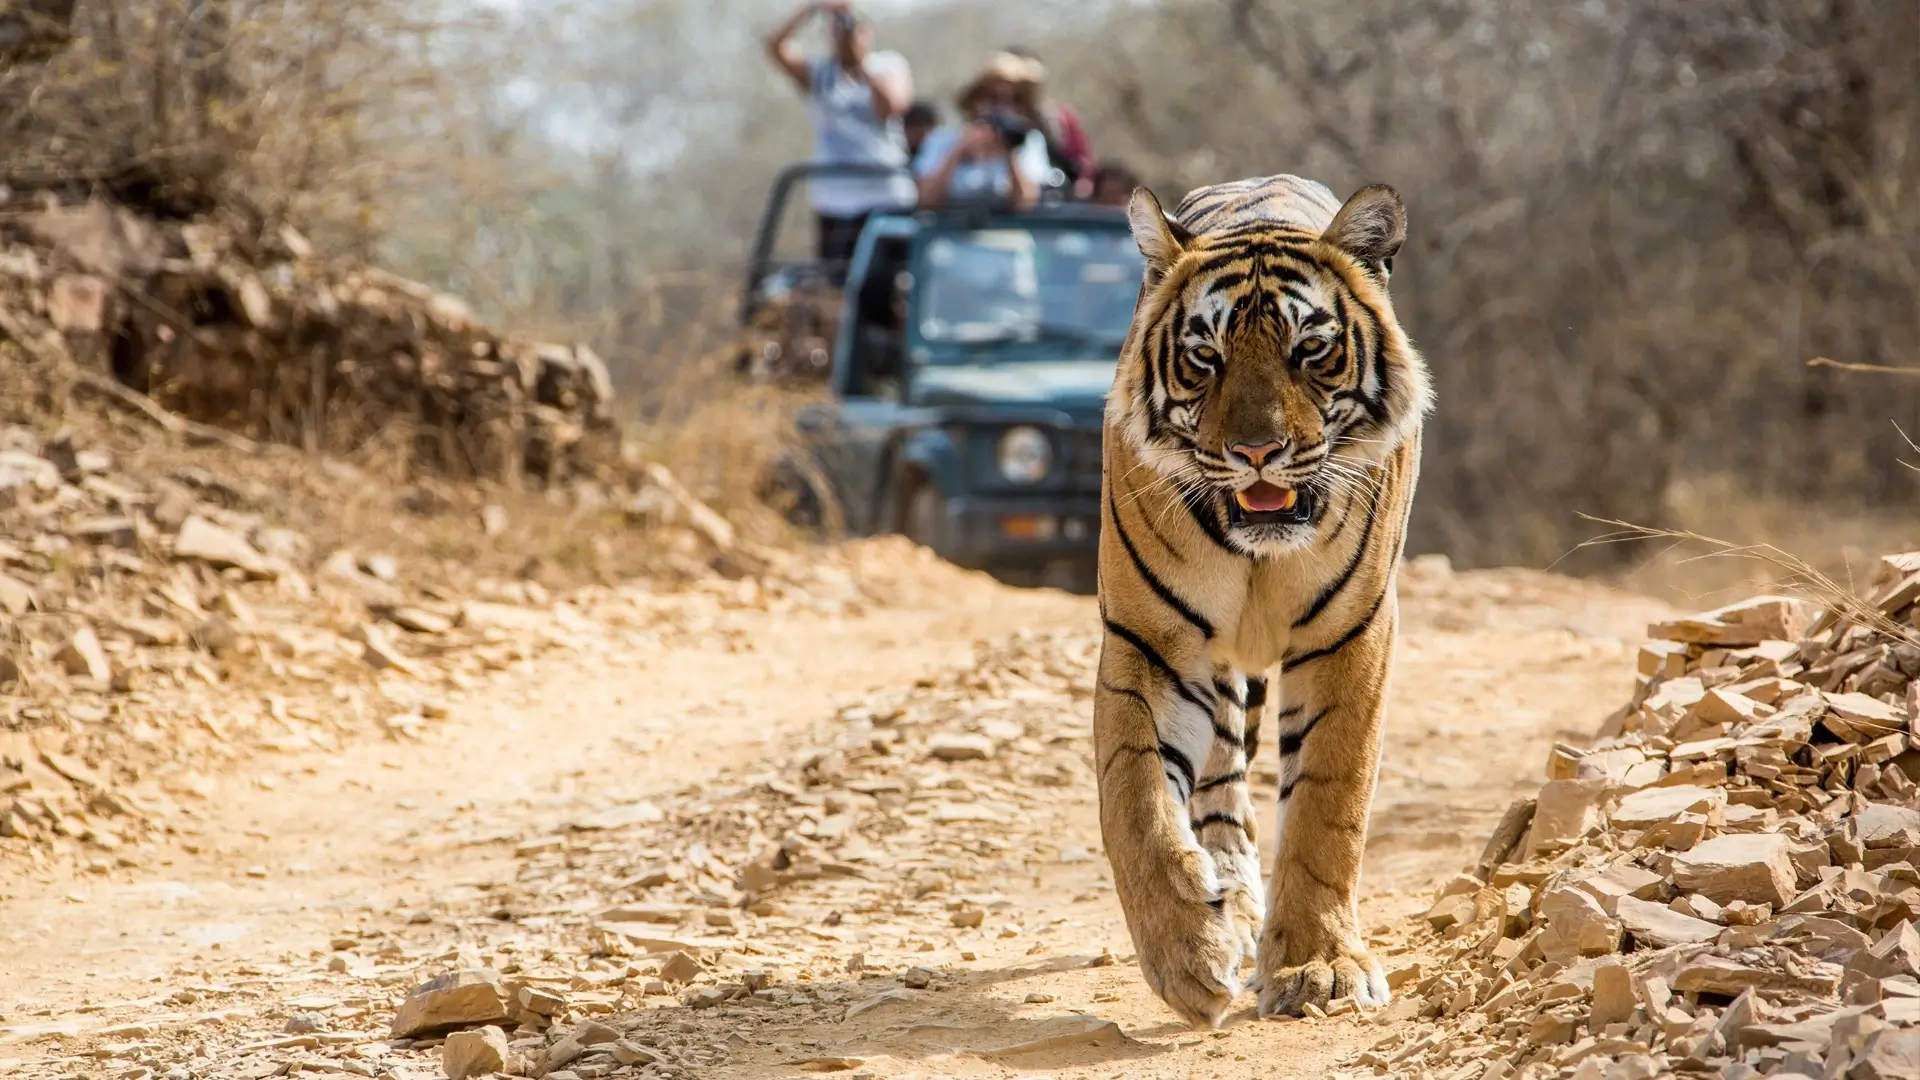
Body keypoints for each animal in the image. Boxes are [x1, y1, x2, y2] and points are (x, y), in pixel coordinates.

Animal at [1093, 174, 1432, 1027]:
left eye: (1309, 350)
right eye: (1204, 358)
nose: (1256, 452)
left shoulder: (1351, 635)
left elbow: (1327, 807)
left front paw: (1321, 968)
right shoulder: (1150, 642)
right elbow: (1135, 800)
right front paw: (1187, 953)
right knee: (1219, 785)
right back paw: (1231, 900)